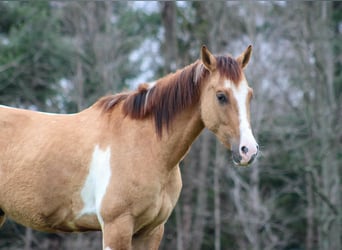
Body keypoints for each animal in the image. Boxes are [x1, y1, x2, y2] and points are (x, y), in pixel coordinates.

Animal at [0, 45, 256, 250]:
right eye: (221, 96)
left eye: (250, 95)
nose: (249, 151)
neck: (147, 147)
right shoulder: (117, 227)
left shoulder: (151, 231)